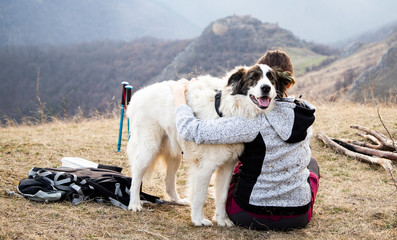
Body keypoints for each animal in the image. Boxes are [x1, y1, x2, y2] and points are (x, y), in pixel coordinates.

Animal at [127, 63, 278, 227]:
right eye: (253, 77)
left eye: (271, 79)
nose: (266, 88)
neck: (229, 109)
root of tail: (139, 95)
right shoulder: (205, 167)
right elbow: (200, 196)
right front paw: (198, 219)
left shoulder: (228, 166)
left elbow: (222, 195)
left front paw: (222, 219)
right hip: (148, 149)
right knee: (136, 175)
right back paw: (134, 204)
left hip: (175, 155)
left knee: (168, 180)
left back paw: (177, 200)